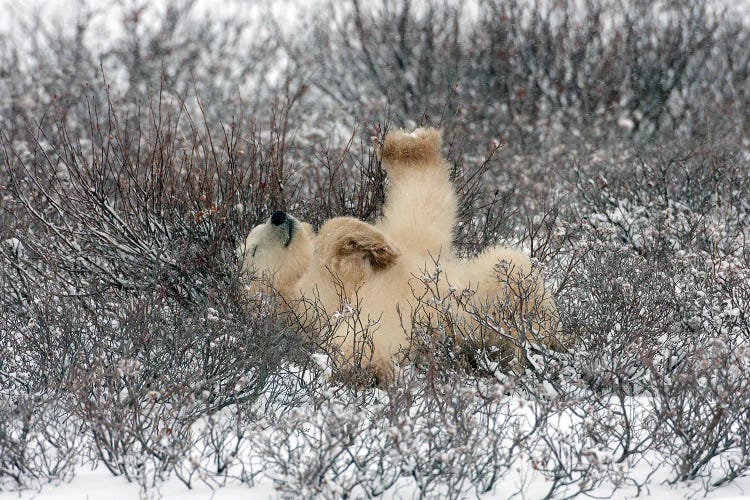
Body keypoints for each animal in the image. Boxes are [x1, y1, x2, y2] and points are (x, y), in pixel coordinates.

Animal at [241, 127, 564, 380]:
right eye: (253, 250)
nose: (278, 215)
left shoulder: (410, 245)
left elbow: (420, 208)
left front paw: (408, 145)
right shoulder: (312, 305)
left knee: (510, 265)